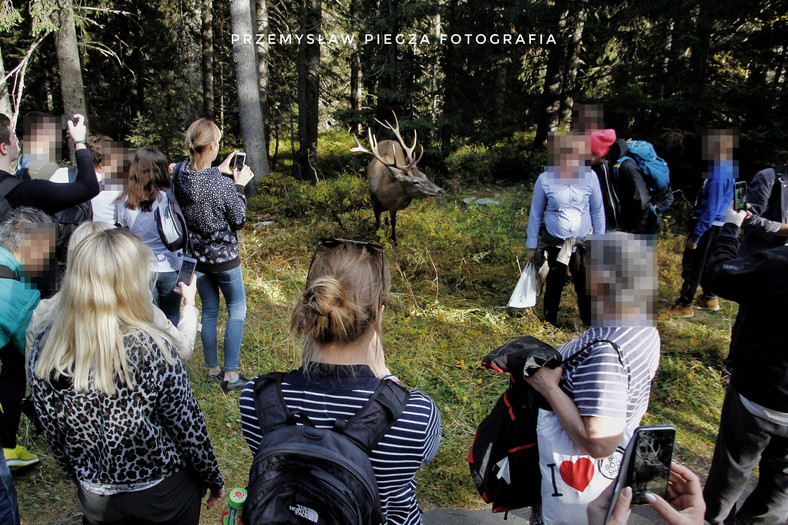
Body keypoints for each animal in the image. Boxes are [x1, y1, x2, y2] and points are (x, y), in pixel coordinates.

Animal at [350, 112, 444, 244]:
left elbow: (394, 222)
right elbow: (378, 226)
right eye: (416, 182)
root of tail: (389, 140)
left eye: (425, 175)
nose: (441, 190)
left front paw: (395, 241)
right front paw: (380, 241)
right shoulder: (374, 204)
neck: (384, 195)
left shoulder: (393, 207)